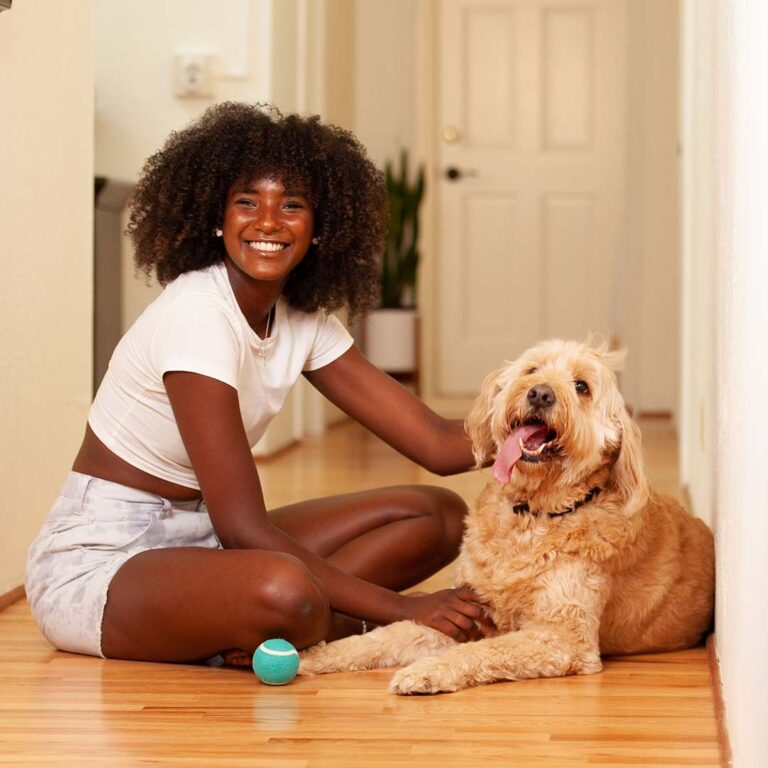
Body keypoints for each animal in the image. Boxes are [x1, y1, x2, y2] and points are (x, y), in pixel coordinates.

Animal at [298, 342, 712, 696]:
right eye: (532, 370)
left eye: (582, 386)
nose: (540, 394)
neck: (532, 516)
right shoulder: (469, 612)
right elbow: (391, 635)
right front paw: (317, 653)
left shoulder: (560, 636)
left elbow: (480, 651)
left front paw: (426, 671)